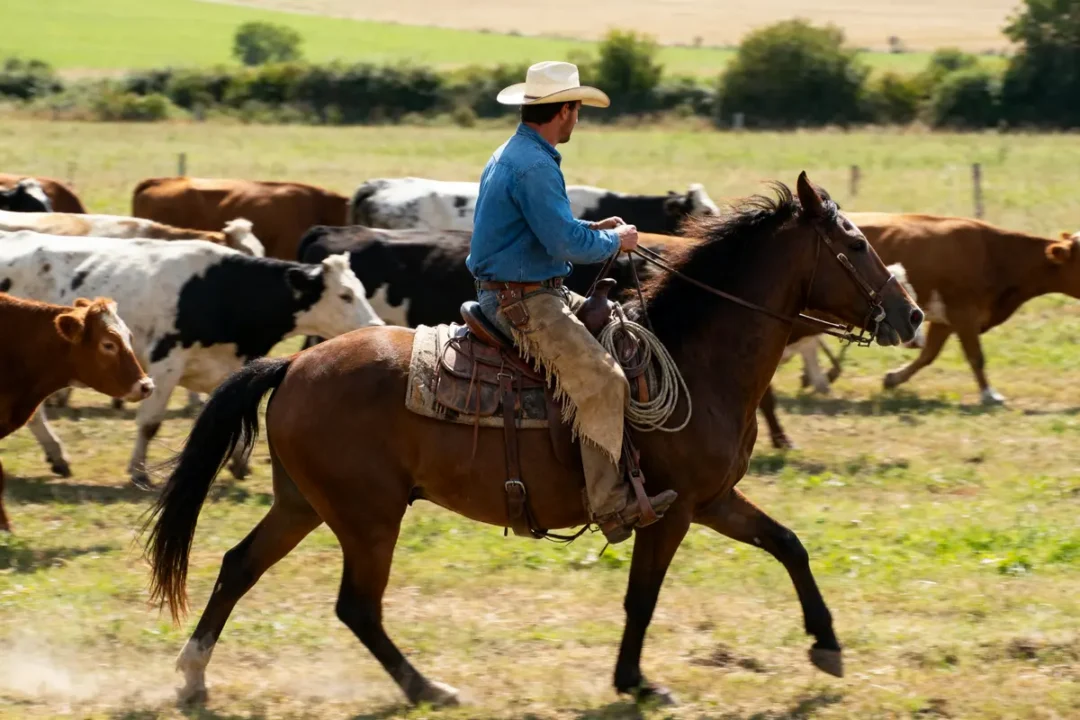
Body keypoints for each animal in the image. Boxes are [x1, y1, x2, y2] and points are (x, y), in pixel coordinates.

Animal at [0, 233, 383, 486]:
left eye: (362, 291)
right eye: (345, 295)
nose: (377, 327)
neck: (223, 289)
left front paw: (240, 462)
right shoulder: (166, 363)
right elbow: (150, 423)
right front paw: (138, 470)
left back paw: (56, 456)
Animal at [848, 213, 1080, 404]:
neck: (996, 255)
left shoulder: (945, 321)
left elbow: (928, 355)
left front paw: (893, 378)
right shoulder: (964, 315)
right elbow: (976, 357)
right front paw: (989, 395)